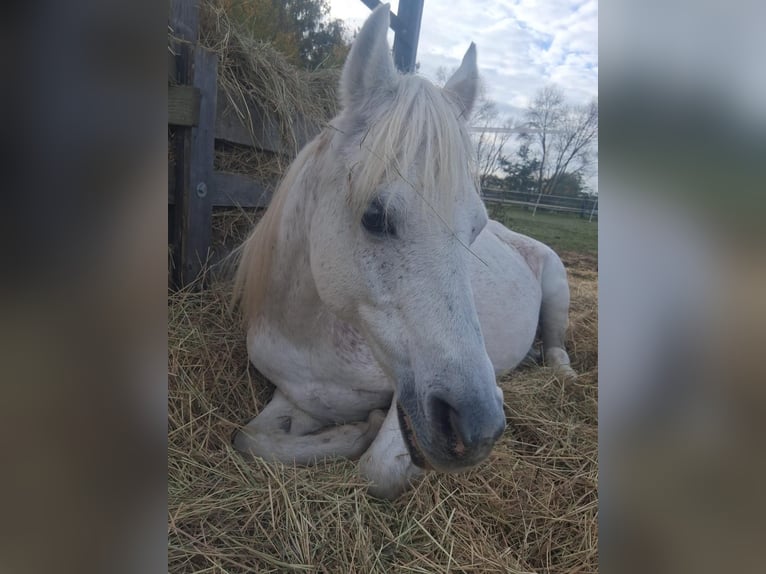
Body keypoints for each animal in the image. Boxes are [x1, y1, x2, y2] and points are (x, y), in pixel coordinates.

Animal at [232, 4, 575, 499]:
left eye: (475, 228)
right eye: (374, 217)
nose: (479, 426)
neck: (313, 336)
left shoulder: (407, 395)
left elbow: (376, 468)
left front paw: (367, 430)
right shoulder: (295, 397)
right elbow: (251, 439)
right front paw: (353, 430)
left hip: (557, 292)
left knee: (558, 346)